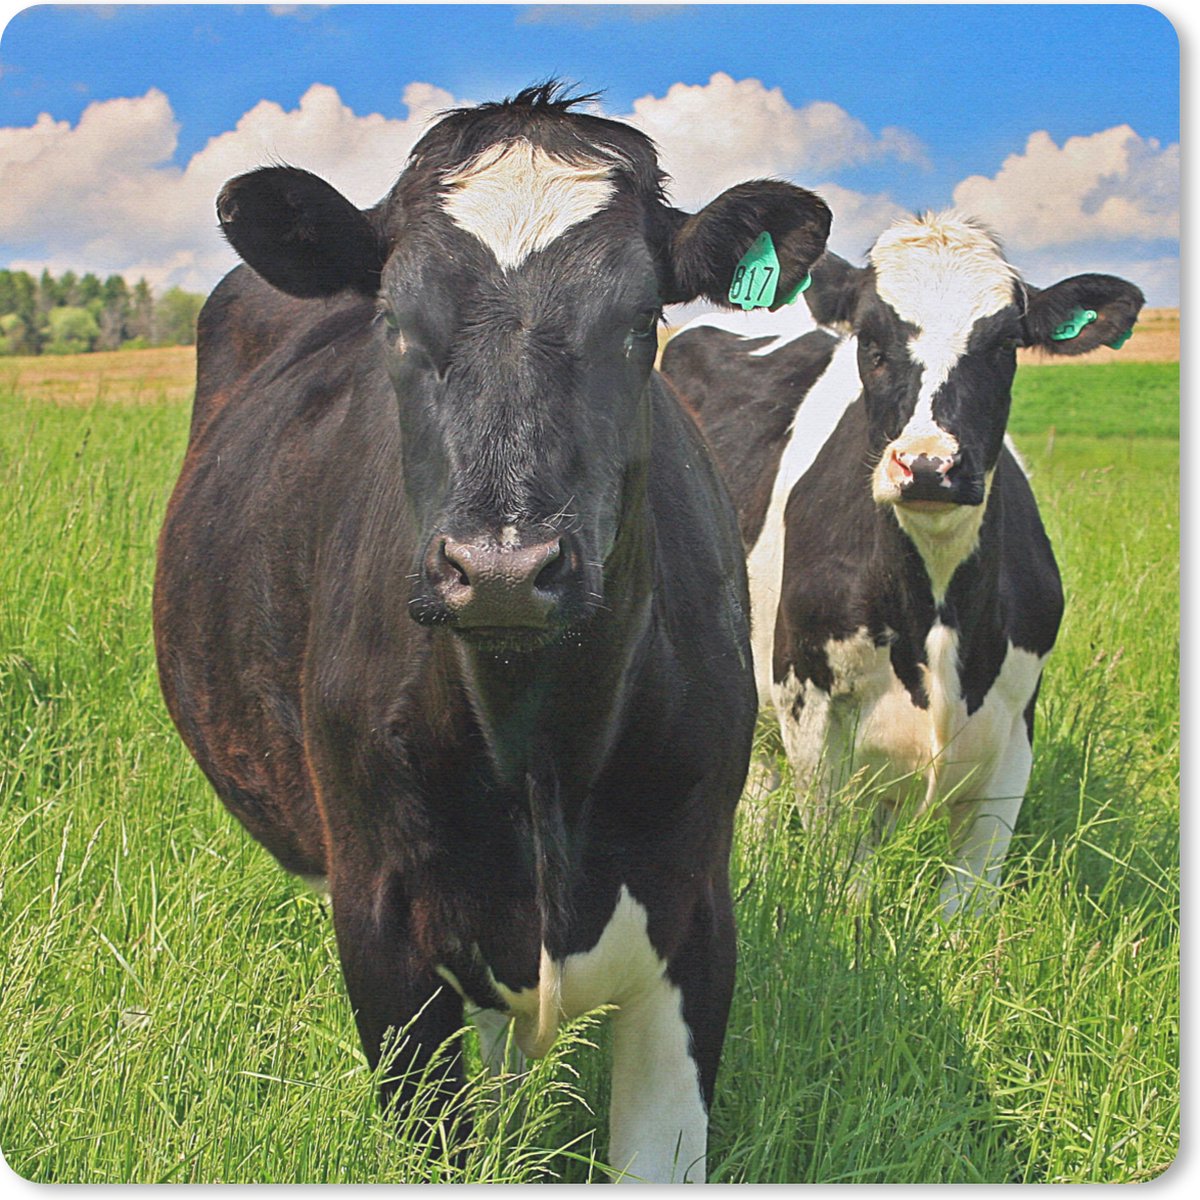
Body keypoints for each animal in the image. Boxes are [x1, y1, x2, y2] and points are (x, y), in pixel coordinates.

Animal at [153, 84, 833, 1182]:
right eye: (393, 320)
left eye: (641, 323)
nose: (505, 568)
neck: (540, 748)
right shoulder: (381, 923)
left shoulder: (695, 912)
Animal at [661, 211, 1143, 917]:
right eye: (871, 338)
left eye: (1006, 343)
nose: (928, 465)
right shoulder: (809, 702)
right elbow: (843, 872)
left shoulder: (1015, 725)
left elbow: (966, 901)